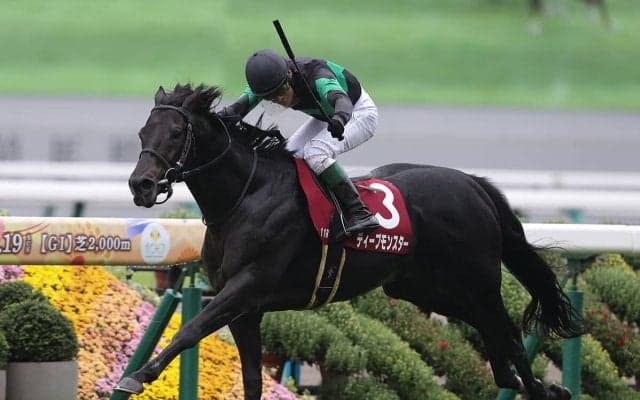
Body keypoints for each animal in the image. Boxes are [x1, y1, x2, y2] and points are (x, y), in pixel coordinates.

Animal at [120, 83, 583, 400]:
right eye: (142, 132)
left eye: (176, 132)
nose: (141, 186)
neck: (246, 196)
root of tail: (472, 183)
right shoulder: (244, 308)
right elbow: (250, 376)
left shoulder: (246, 287)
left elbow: (190, 330)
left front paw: (138, 375)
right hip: (423, 286)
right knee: (491, 330)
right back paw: (525, 382)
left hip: (478, 280)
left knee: (506, 328)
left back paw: (539, 387)